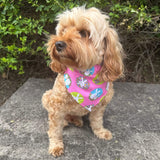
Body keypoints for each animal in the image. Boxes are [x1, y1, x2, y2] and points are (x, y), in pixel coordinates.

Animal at [42, 5, 124, 156]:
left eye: (83, 33)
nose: (58, 44)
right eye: (63, 30)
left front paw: (100, 132)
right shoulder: (56, 105)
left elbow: (97, 121)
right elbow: (55, 129)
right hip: (47, 95)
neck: (84, 72)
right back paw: (67, 122)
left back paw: (76, 120)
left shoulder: (101, 105)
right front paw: (56, 145)